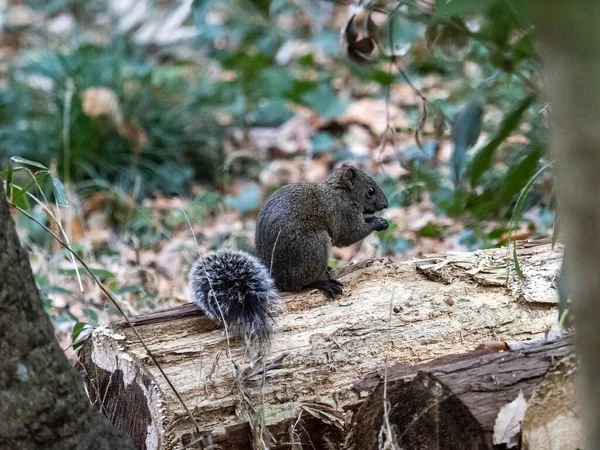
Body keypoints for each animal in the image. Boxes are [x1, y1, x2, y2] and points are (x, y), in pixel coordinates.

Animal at [188, 165, 390, 348]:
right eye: (370, 191)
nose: (386, 205)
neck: (340, 193)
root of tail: (276, 279)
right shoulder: (343, 214)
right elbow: (350, 234)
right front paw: (379, 223)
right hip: (314, 245)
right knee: (302, 282)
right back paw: (323, 282)